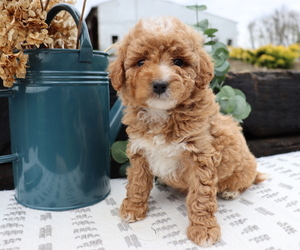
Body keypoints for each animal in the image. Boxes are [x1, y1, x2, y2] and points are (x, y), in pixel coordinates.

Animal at [108, 16, 268, 247]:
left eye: (178, 61)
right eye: (141, 62)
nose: (159, 84)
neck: (162, 114)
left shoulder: (201, 156)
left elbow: (201, 196)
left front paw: (203, 229)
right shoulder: (140, 150)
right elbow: (137, 182)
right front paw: (133, 208)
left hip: (243, 169)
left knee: (245, 182)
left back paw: (231, 191)